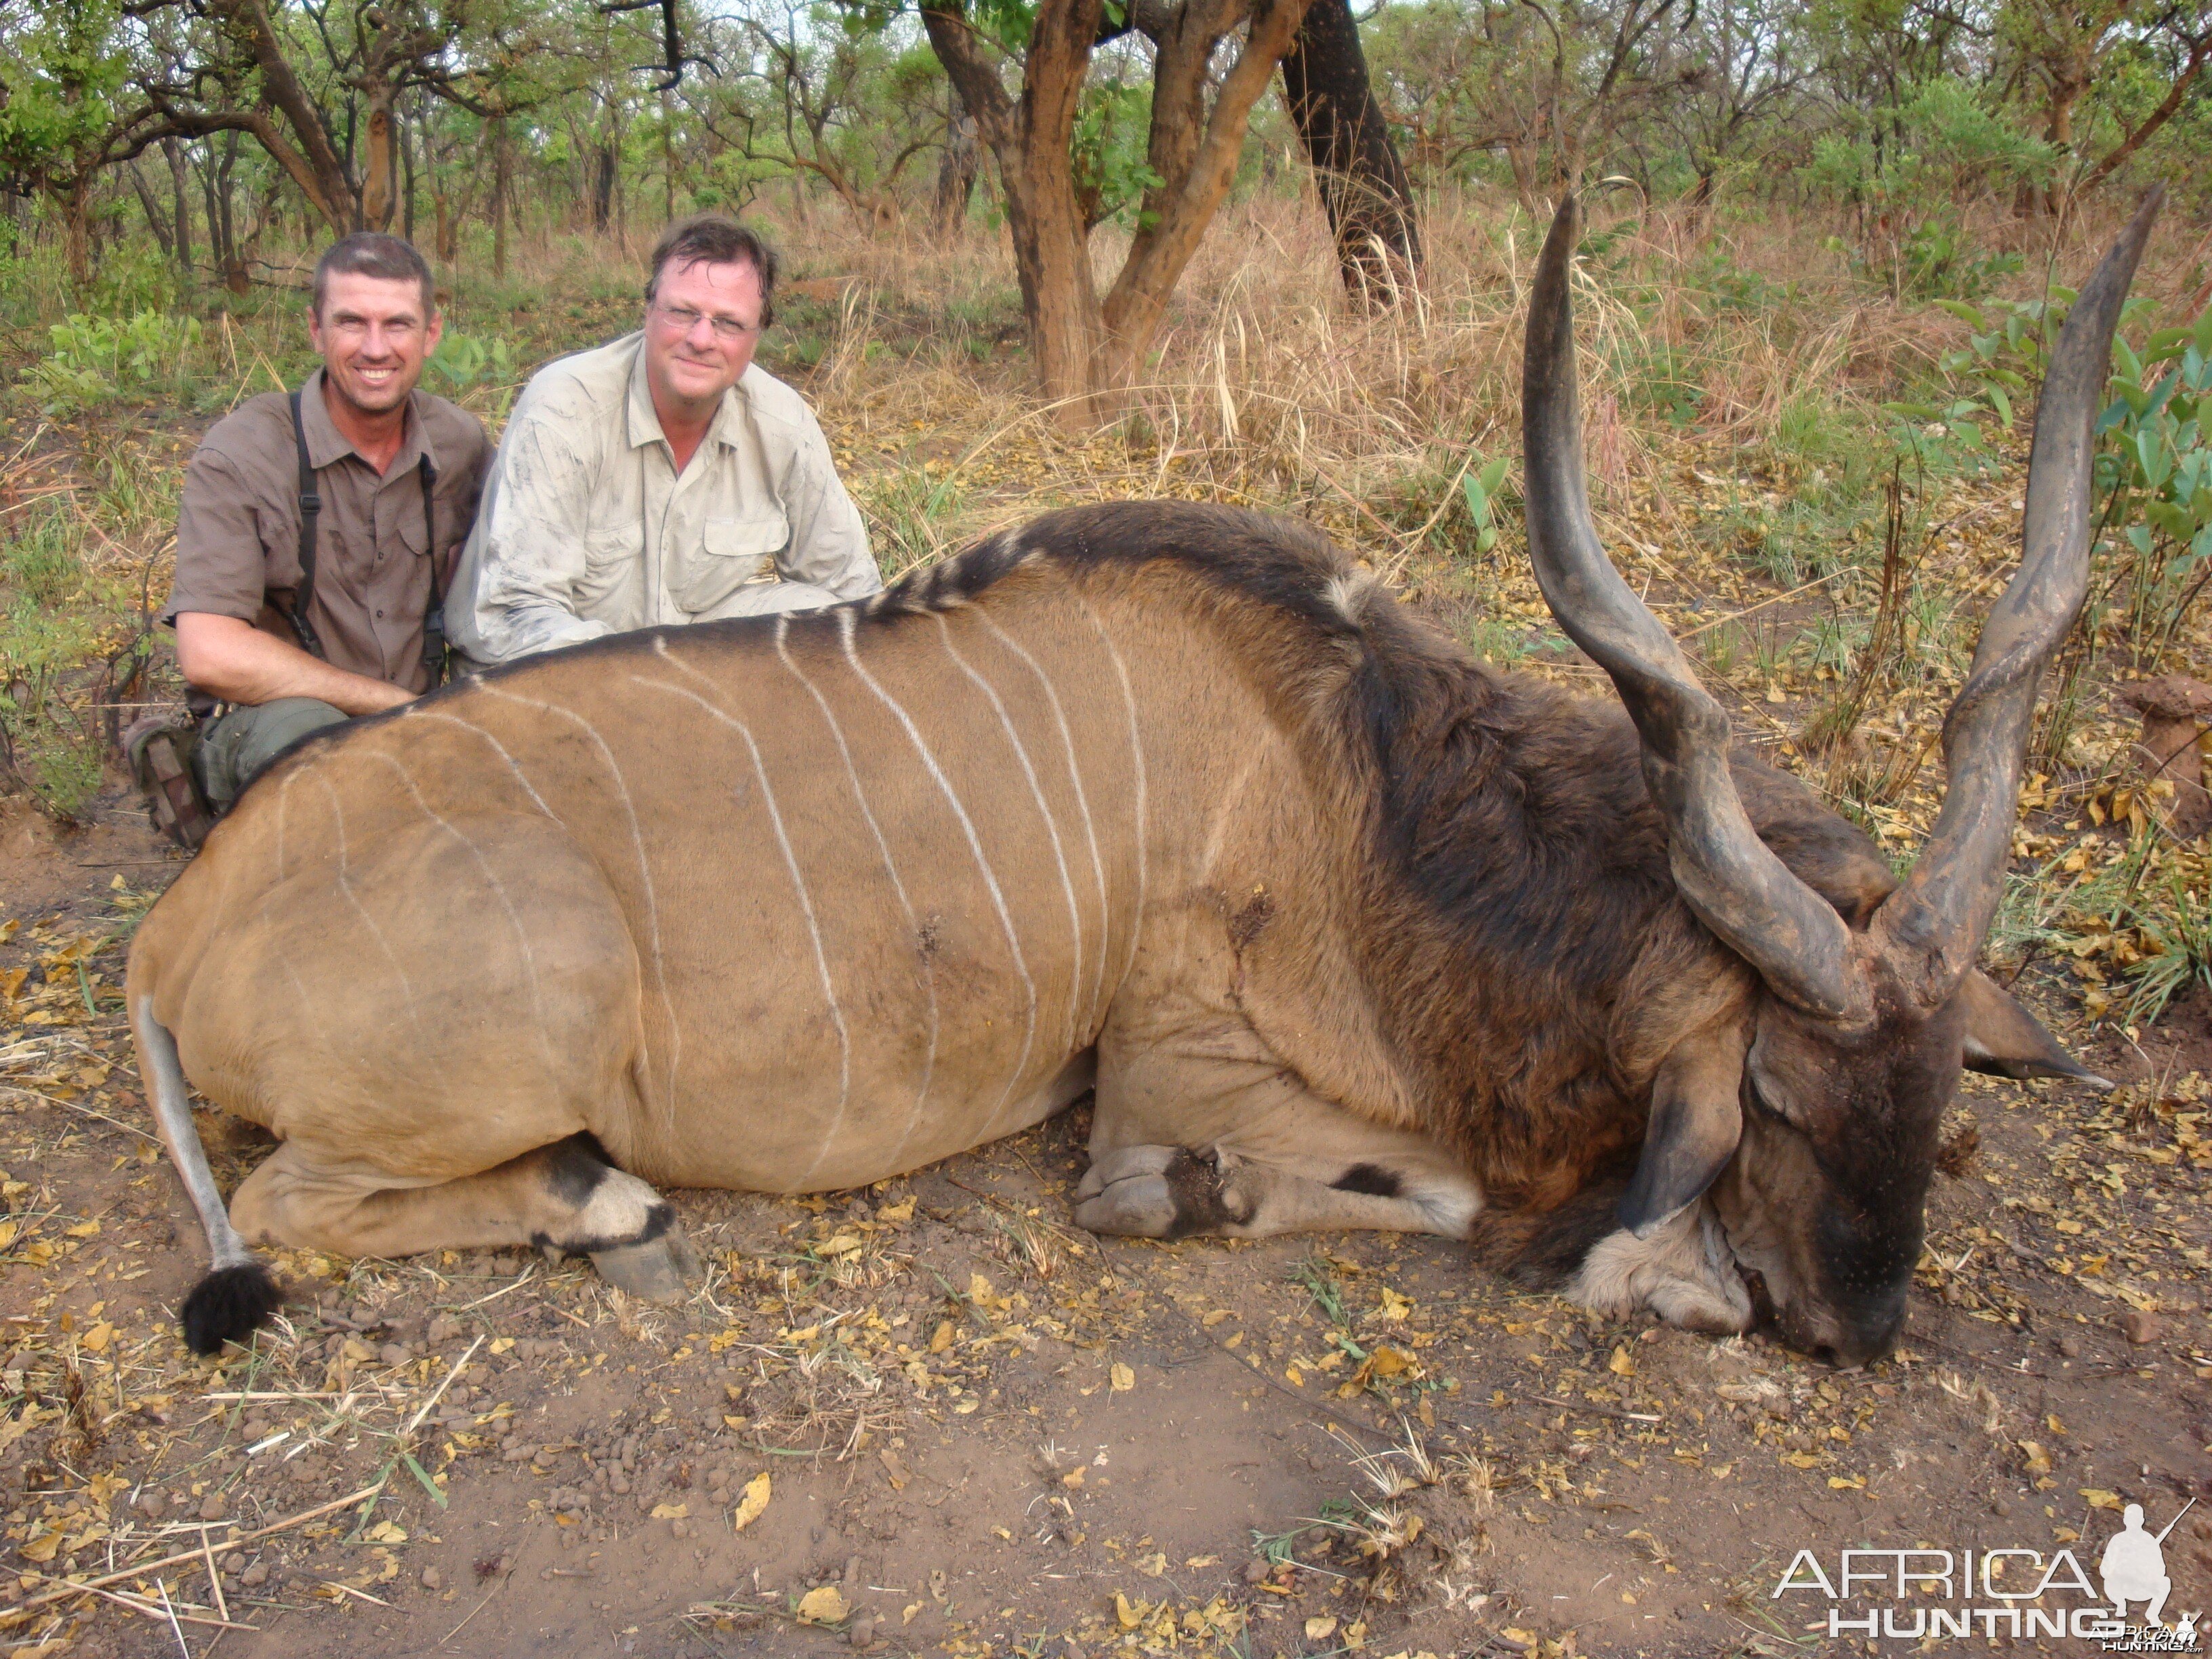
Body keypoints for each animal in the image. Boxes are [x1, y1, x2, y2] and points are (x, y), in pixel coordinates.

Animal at [125, 194, 2141, 1371]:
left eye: (1936, 1093)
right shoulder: (1179, 1080)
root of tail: (175, 930)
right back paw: (605, 1205)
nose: (1860, 1326)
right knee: (295, 1212)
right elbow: (1325, 1195)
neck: (1363, 796)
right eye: (1779, 1100)